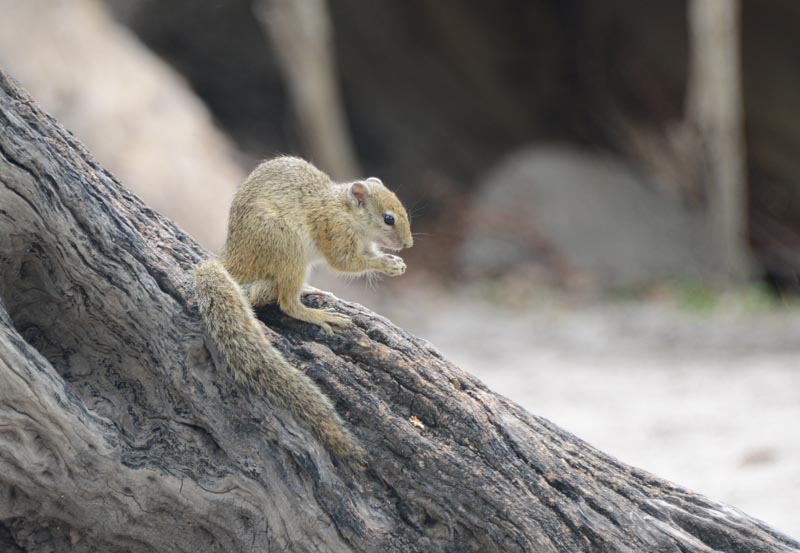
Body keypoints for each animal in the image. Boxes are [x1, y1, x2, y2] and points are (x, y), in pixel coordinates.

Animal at [194, 155, 412, 462]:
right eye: (388, 218)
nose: (408, 244)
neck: (342, 208)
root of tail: (232, 265)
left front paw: (394, 262)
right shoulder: (335, 232)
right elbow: (345, 263)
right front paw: (386, 264)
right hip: (289, 248)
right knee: (287, 304)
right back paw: (320, 315)